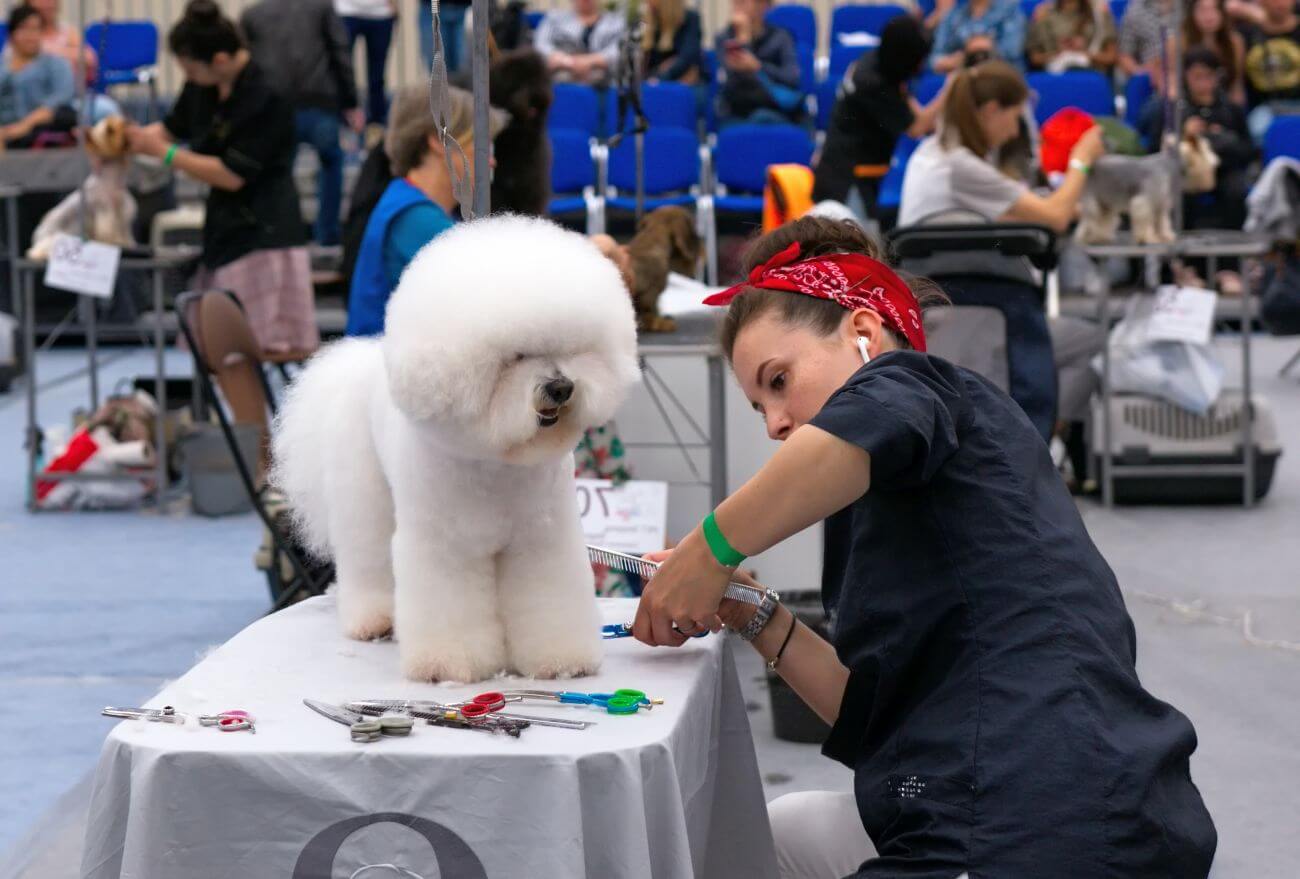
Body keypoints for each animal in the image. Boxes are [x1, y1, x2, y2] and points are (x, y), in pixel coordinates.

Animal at [28, 115, 135, 257]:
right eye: (109, 130)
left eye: (119, 119)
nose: (127, 122)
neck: (111, 177)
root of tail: (39, 229)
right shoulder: (105, 210)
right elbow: (109, 230)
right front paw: (115, 242)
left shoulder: (122, 210)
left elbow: (123, 229)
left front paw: (127, 242)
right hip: (54, 238)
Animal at [273, 215, 639, 681]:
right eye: (517, 357)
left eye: (569, 349)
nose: (561, 387)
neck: (497, 463)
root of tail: (358, 363)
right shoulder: (447, 547)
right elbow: (450, 606)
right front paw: (448, 664)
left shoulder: (542, 540)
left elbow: (547, 597)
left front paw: (560, 660)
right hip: (365, 499)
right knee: (367, 558)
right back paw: (373, 620)